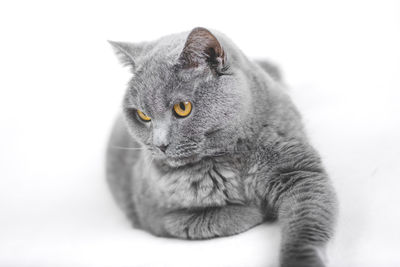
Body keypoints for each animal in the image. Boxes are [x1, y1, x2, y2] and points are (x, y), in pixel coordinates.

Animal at [106, 27, 338, 267]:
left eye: (182, 108)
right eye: (142, 115)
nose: (160, 144)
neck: (229, 157)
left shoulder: (299, 172)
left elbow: (307, 220)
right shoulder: (151, 214)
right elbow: (205, 220)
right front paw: (254, 210)